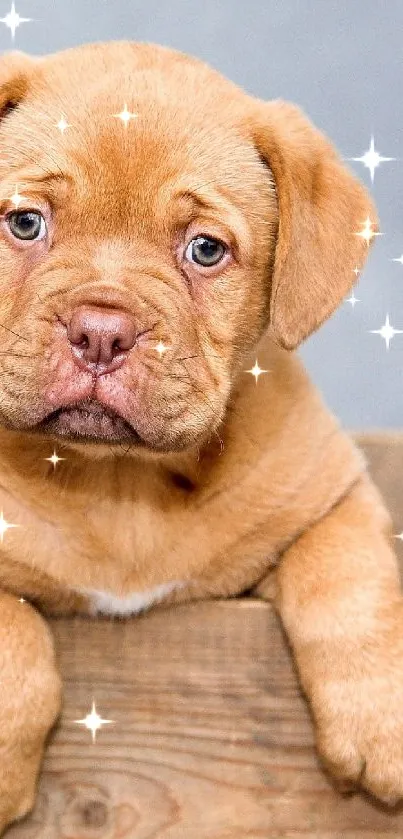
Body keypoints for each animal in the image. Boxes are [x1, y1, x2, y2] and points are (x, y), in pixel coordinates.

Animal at [0, 37, 400, 828]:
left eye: (206, 250)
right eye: (25, 224)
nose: (101, 331)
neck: (118, 482)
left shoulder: (331, 493)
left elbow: (350, 581)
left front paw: (382, 721)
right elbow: (14, 635)